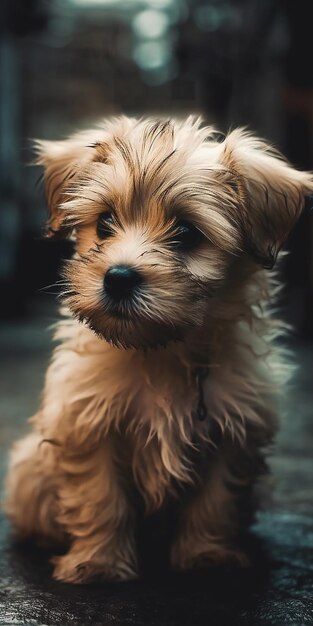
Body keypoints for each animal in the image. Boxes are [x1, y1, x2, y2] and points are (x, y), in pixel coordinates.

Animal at [3, 116, 312, 580]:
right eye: (105, 223)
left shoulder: (233, 432)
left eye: (186, 233)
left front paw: (207, 555)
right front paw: (98, 562)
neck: (161, 350)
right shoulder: (89, 425)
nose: (118, 278)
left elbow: (216, 501)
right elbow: (101, 497)